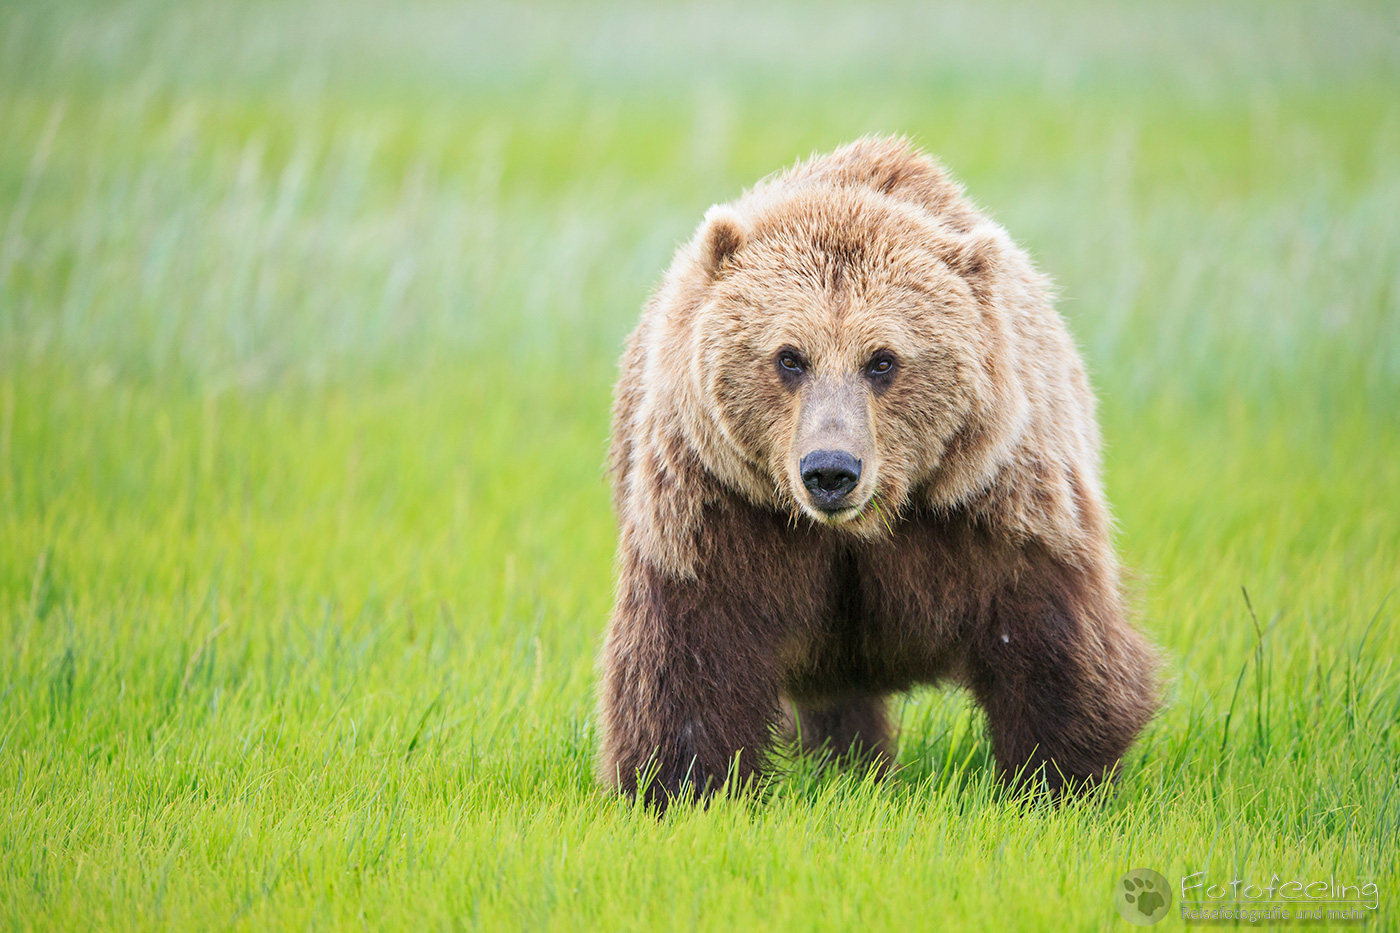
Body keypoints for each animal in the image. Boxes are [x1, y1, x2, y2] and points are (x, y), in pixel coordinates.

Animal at [597, 136, 1159, 809]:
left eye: (882, 360)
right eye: (790, 357)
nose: (830, 470)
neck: (863, 525)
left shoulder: (993, 505)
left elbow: (1051, 641)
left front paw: (1056, 782)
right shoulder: (722, 505)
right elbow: (690, 655)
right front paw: (680, 786)